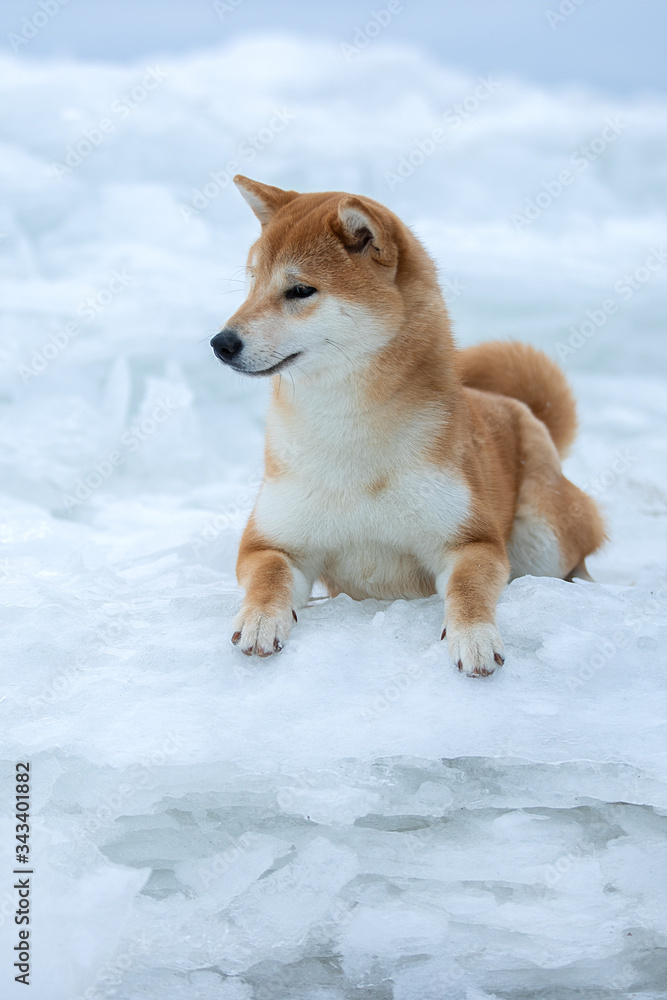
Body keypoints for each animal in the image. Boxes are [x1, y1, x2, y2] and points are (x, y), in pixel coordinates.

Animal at [211, 178, 608, 680]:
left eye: (300, 290)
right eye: (252, 282)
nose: (220, 343)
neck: (349, 434)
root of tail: (514, 405)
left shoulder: (471, 540)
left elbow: (468, 590)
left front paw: (475, 638)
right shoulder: (272, 543)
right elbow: (269, 579)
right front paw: (261, 621)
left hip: (544, 536)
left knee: (574, 558)